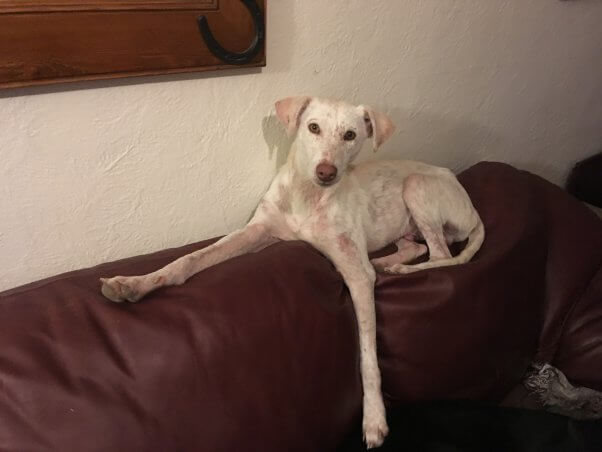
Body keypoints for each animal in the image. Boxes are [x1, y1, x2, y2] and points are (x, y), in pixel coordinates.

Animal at [98, 96, 482, 448]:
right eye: (313, 127)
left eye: (350, 135)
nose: (326, 172)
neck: (307, 197)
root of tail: (470, 204)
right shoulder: (257, 231)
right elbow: (190, 260)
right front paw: (132, 283)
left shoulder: (355, 273)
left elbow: (368, 354)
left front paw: (374, 418)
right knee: (416, 247)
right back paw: (387, 262)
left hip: (416, 186)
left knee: (440, 252)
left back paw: (396, 268)